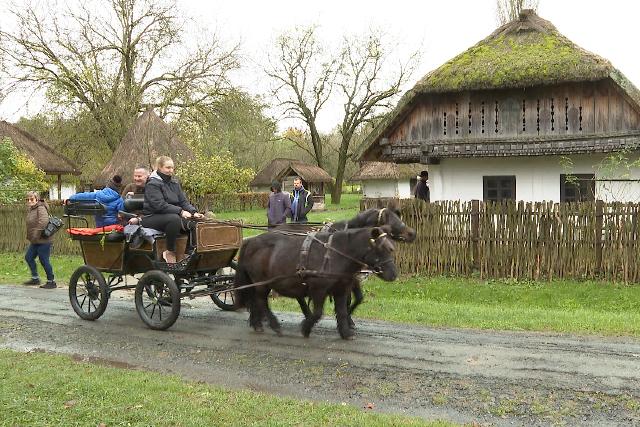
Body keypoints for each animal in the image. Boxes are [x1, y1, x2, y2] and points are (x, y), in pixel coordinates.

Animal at [232, 227, 398, 342]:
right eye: (382, 249)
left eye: (391, 248)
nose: (394, 274)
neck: (337, 253)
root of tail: (250, 241)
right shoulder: (319, 289)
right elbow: (318, 312)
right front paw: (306, 328)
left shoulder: (341, 290)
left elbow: (342, 312)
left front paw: (345, 333)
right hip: (261, 282)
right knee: (261, 301)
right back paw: (274, 325)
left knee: (255, 301)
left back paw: (257, 324)